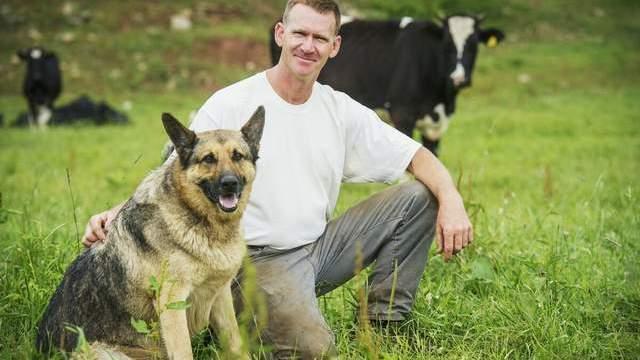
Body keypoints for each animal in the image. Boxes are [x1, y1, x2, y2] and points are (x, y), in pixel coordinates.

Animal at [35, 105, 264, 358]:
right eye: (208, 159)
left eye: (237, 156)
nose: (229, 183)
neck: (195, 215)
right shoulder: (173, 303)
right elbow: (184, 352)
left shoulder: (220, 295)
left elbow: (236, 344)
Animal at [268, 14, 502, 155]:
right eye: (447, 44)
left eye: (474, 44)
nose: (458, 78)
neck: (442, 98)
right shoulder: (402, 114)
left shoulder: (436, 127)